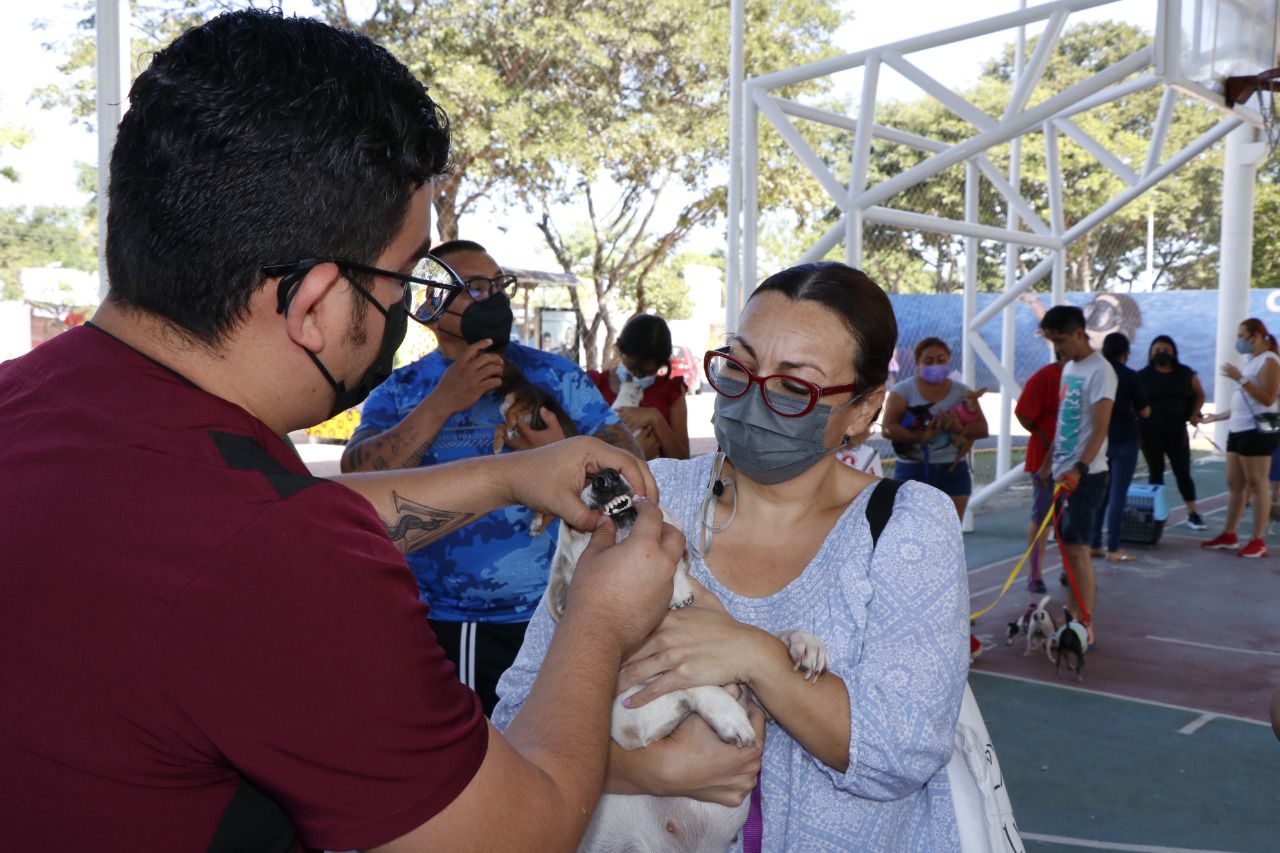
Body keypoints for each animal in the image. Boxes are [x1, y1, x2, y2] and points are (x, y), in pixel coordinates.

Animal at [547, 468, 828, 853]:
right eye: (573, 524)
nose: (604, 476)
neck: (670, 609)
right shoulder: (630, 723)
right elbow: (691, 684)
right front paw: (727, 714)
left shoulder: (759, 701)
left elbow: (759, 645)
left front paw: (802, 642)